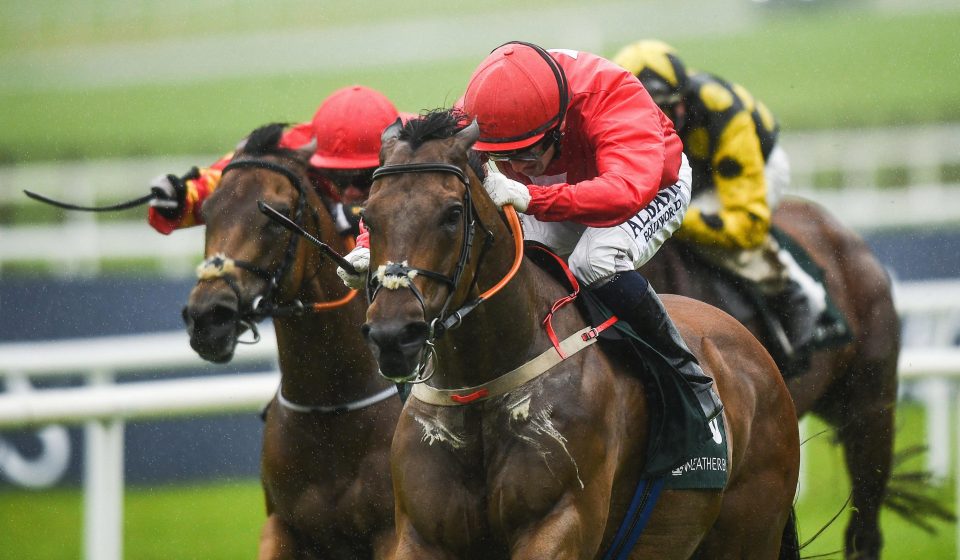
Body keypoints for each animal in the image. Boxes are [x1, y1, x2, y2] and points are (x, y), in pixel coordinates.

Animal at [182, 123, 400, 560]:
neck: (330, 407)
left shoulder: (392, 532)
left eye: (276, 219)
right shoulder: (282, 529)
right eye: (209, 211)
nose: (207, 317)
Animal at [356, 110, 800, 560]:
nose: (393, 335)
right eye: (368, 216)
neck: (480, 387)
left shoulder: (560, 518)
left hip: (750, 530)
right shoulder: (420, 535)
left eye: (451, 214)